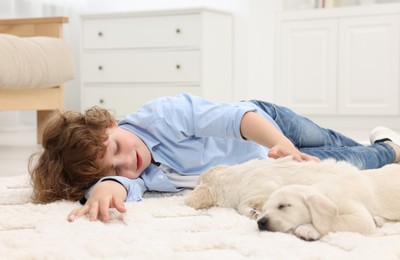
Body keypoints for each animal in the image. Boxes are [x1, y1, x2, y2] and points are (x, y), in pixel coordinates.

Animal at [258, 164, 400, 241]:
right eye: (263, 210)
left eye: (283, 206)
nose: (260, 222)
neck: (326, 192)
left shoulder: (358, 215)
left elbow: (335, 221)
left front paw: (308, 228)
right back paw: (377, 219)